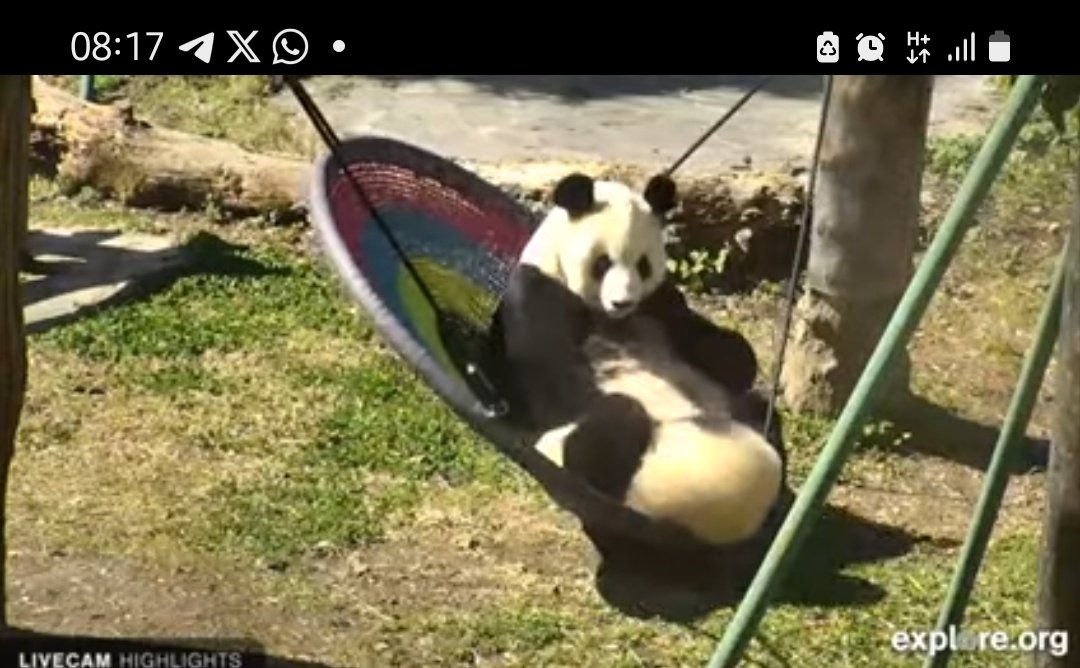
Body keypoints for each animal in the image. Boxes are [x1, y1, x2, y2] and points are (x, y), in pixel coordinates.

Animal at [495, 171, 789, 557]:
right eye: (602, 263)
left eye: (643, 264)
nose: (622, 302)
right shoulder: (539, 289)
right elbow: (547, 374)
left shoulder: (660, 301)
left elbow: (719, 352)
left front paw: (734, 355)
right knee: (608, 430)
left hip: (734, 414)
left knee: (758, 408)